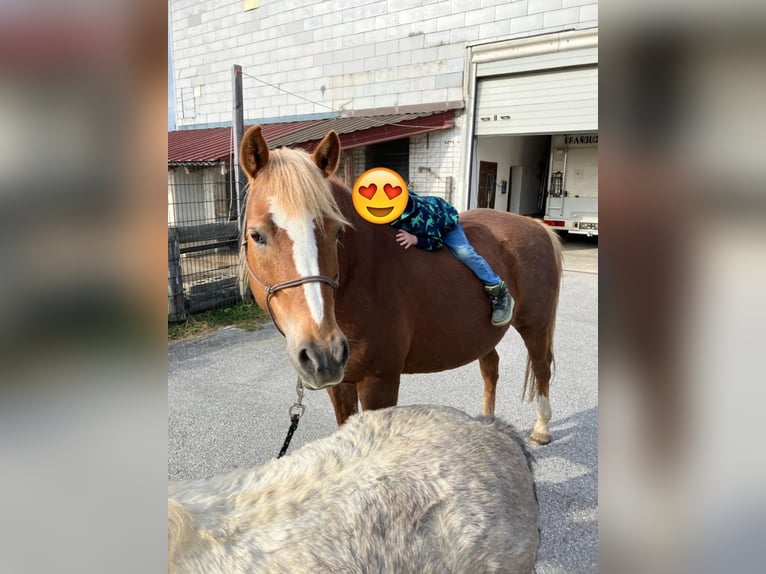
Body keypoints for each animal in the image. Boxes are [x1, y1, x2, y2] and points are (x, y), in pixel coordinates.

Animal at [240, 126, 564, 446]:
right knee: (491, 367)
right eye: (257, 235)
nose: (323, 353)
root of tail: (535, 225)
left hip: (535, 325)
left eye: (337, 232)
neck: (362, 275)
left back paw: (541, 428)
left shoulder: (379, 382)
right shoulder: (340, 384)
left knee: (542, 367)